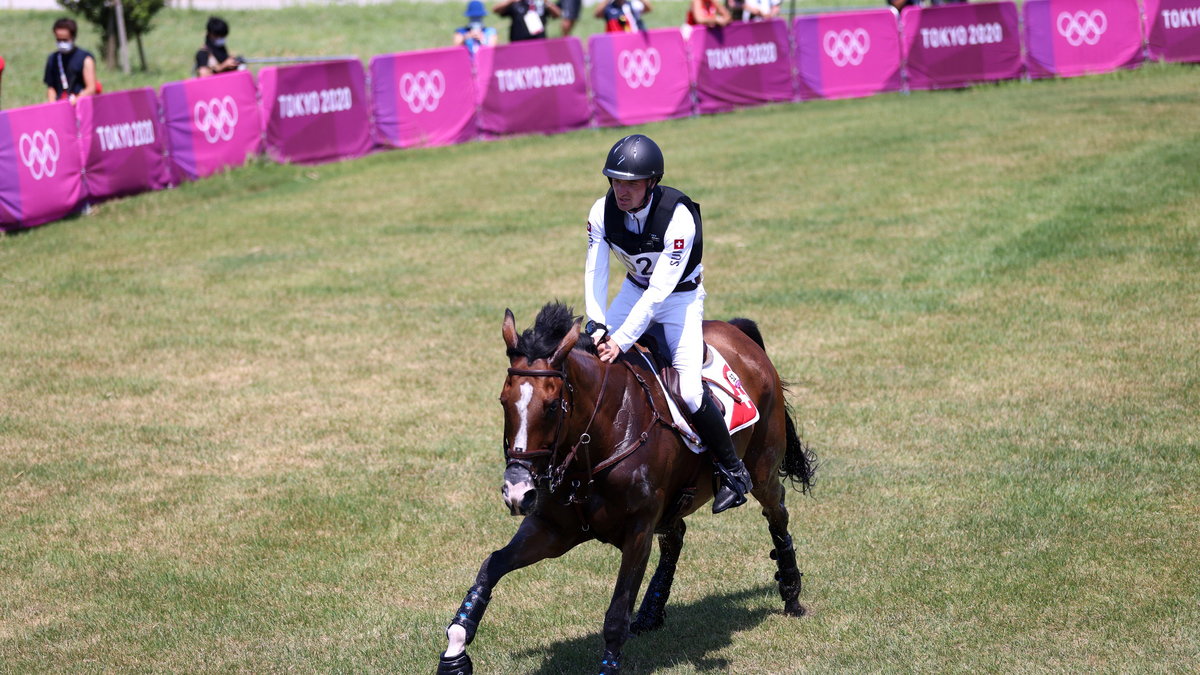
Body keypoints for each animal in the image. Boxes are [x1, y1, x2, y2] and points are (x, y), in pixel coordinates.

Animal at [436, 302, 820, 667]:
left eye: (552, 406)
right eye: (504, 402)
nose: (517, 492)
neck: (594, 446)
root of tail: (737, 332)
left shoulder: (637, 533)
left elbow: (616, 617)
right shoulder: (552, 530)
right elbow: (491, 566)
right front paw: (456, 648)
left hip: (762, 468)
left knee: (777, 512)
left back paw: (791, 592)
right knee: (676, 534)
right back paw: (651, 611)